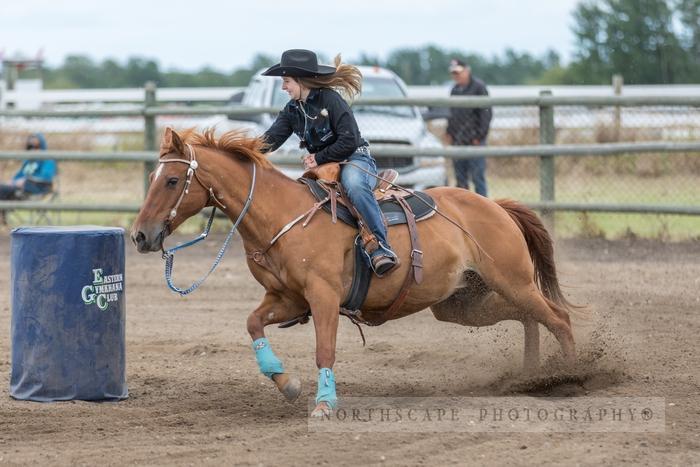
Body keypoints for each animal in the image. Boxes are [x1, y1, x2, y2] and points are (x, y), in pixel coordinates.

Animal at [134, 128, 576, 416]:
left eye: (171, 179)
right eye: (153, 177)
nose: (140, 235)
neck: (281, 215)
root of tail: (497, 206)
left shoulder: (324, 296)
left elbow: (324, 349)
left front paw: (324, 404)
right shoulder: (286, 298)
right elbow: (253, 324)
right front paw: (287, 383)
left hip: (512, 281)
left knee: (558, 318)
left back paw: (571, 377)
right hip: (461, 302)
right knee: (528, 317)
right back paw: (532, 376)